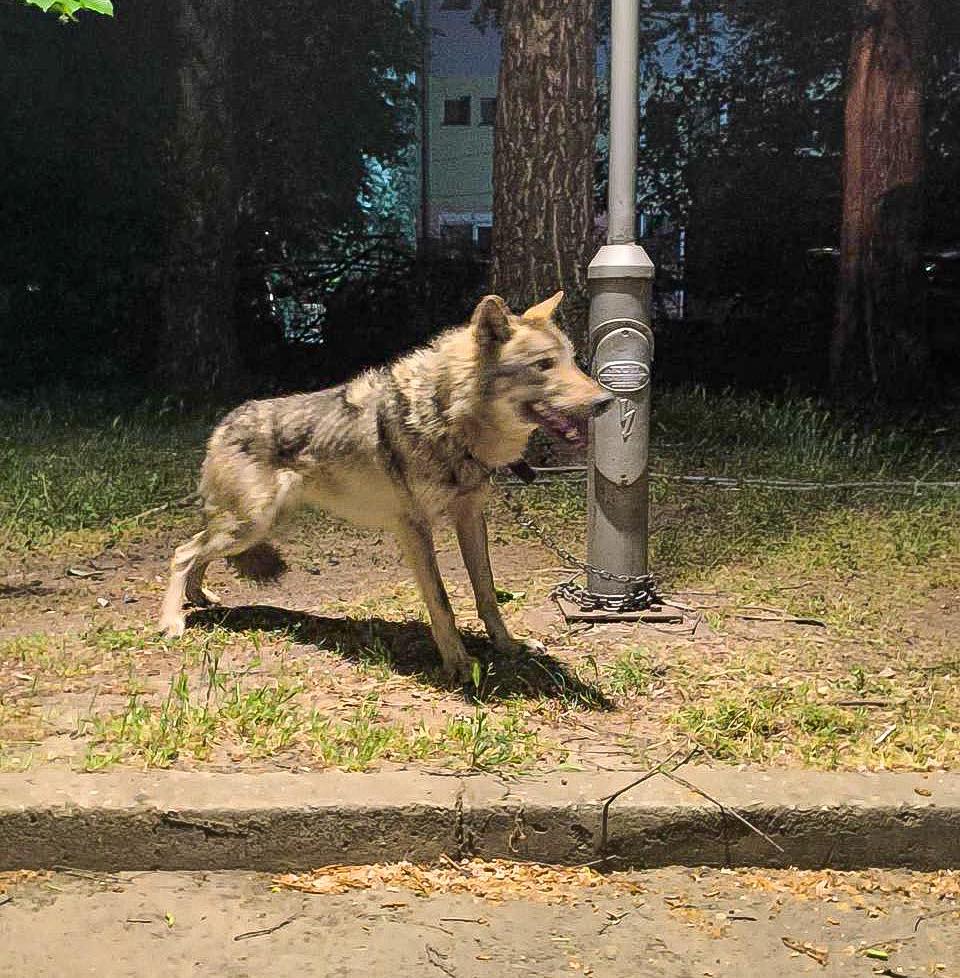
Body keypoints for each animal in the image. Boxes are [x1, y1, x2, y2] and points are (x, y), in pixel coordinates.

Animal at [158, 291, 612, 681]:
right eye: (544, 365)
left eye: (572, 361)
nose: (606, 401)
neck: (446, 418)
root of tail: (223, 423)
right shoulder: (413, 528)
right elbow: (442, 602)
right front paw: (458, 664)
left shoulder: (470, 517)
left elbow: (486, 592)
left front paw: (509, 647)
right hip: (250, 525)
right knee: (183, 552)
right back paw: (173, 620)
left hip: (256, 527)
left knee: (198, 550)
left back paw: (199, 598)